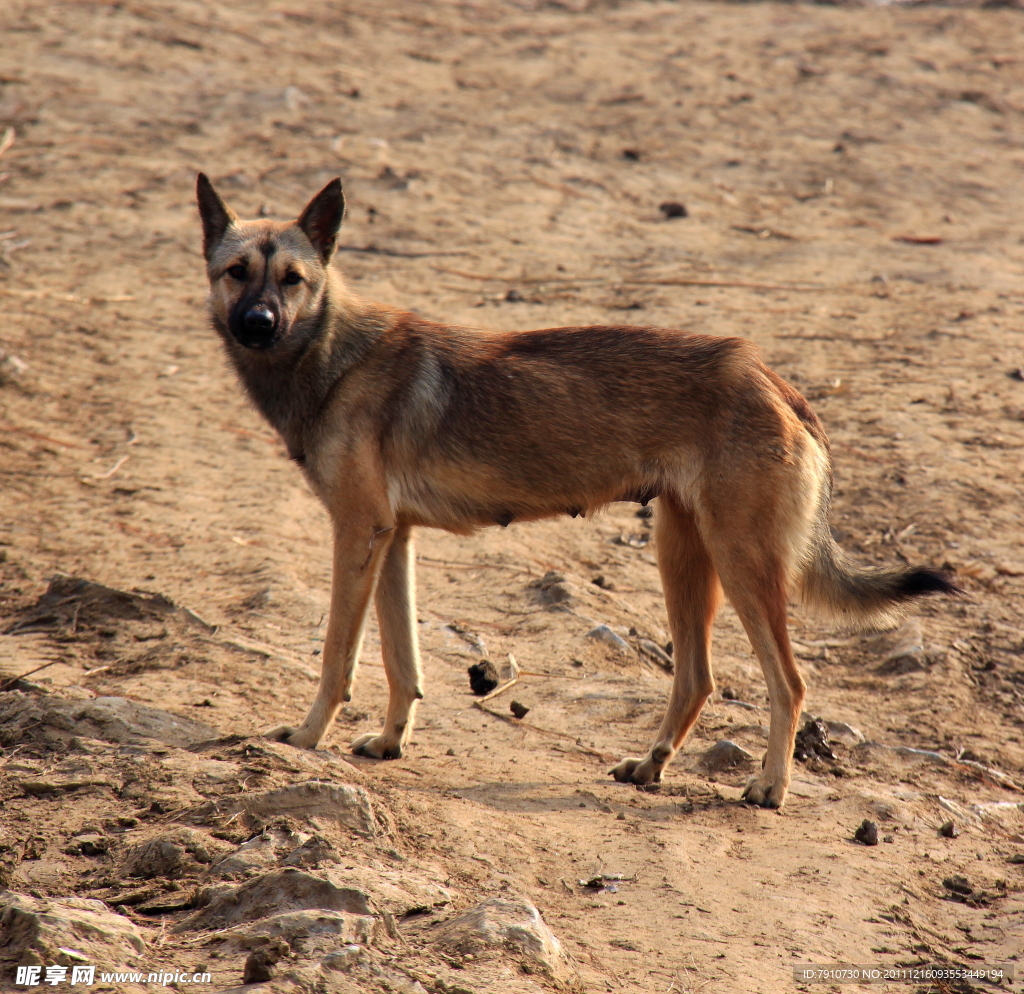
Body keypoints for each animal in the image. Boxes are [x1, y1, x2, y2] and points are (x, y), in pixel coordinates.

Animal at [199, 173, 958, 806]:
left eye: (292, 279)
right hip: (684, 559)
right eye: (237, 273)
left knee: (789, 684)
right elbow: (400, 662)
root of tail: (770, 374)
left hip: (743, 567)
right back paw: (650, 766)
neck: (332, 355)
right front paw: (389, 743)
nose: (258, 324)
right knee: (698, 679)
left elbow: (337, 659)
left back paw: (769, 788)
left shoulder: (358, 534)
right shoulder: (393, 539)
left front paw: (306, 737)